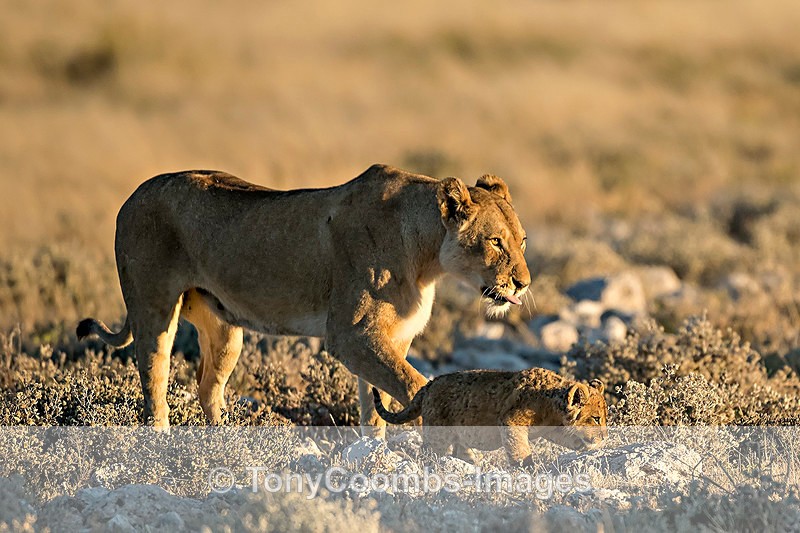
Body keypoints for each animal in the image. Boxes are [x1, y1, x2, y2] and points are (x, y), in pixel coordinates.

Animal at [76, 164, 531, 432]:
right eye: (496, 242)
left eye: (523, 241)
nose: (523, 284)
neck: (427, 258)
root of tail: (132, 196)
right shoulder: (350, 334)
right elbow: (413, 383)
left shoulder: (390, 337)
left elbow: (376, 405)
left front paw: (375, 458)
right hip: (154, 309)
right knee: (154, 384)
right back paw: (164, 440)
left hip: (225, 331)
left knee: (208, 388)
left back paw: (225, 442)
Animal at [372, 367, 607, 464]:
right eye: (596, 418)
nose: (605, 437)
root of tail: (430, 384)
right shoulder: (511, 421)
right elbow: (519, 448)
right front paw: (527, 467)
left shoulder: (552, 428)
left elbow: (568, 437)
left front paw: (585, 446)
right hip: (439, 434)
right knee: (429, 452)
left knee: (459, 451)